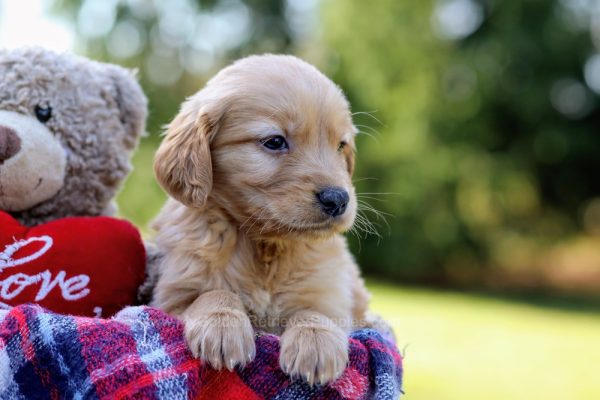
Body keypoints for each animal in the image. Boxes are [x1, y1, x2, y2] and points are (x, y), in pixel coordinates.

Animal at [151, 54, 370, 384]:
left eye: (341, 146)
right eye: (275, 141)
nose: (338, 199)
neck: (266, 245)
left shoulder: (331, 296)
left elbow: (315, 312)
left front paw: (315, 343)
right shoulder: (174, 294)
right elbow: (213, 293)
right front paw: (222, 325)